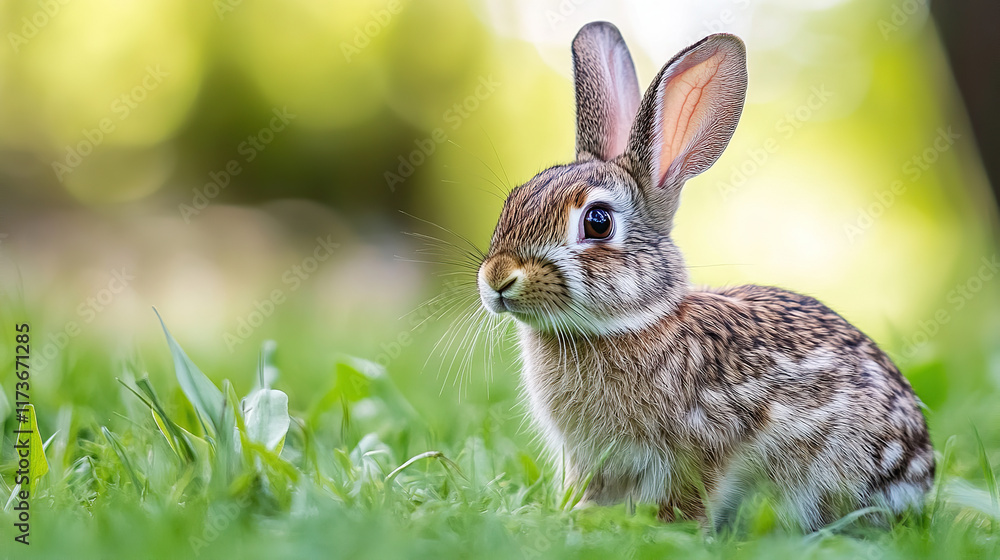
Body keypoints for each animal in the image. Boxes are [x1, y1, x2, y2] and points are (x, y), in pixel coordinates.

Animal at [475, 21, 934, 532]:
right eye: (514, 198)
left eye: (597, 222)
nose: (497, 278)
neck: (631, 324)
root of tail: (922, 475)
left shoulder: (705, 442)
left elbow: (689, 495)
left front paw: (673, 530)